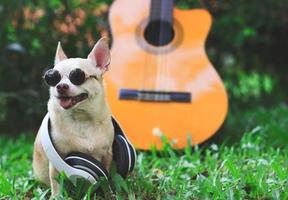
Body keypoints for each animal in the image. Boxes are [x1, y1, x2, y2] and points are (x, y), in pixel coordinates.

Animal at [33, 38, 114, 196]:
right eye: (52, 78)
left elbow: (106, 178)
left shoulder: (107, 155)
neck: (82, 118)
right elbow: (56, 183)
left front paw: (109, 194)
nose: (60, 86)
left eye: (78, 76)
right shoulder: (57, 161)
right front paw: (56, 197)